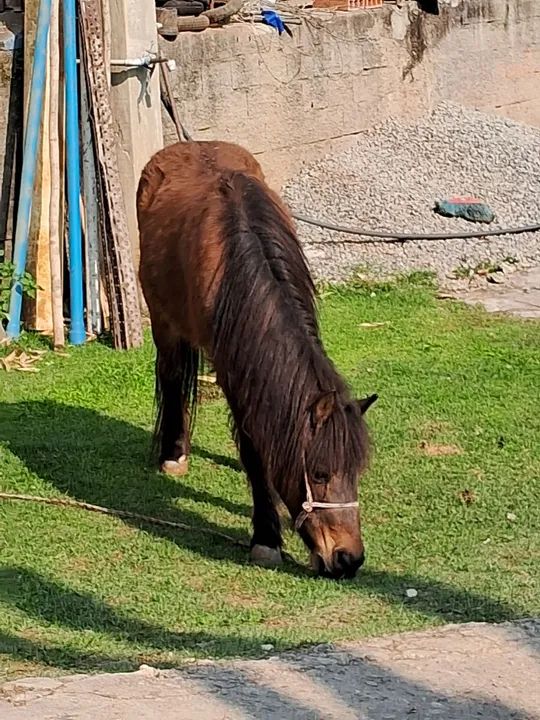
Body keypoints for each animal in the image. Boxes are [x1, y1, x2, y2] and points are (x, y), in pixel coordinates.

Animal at [137, 140, 377, 579]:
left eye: (355, 473)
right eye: (319, 473)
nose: (348, 560)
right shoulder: (235, 374)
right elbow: (252, 447)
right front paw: (266, 536)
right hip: (163, 318)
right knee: (172, 375)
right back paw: (174, 454)